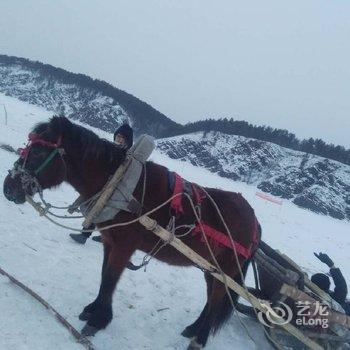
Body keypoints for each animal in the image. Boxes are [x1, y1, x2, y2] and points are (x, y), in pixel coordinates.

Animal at [2, 116, 260, 348]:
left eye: (38, 152)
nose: (8, 188)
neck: (119, 185)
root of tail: (254, 221)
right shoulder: (110, 241)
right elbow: (104, 275)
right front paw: (93, 310)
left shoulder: (124, 246)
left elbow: (110, 278)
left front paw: (98, 320)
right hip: (211, 268)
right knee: (211, 298)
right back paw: (193, 329)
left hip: (226, 269)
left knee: (216, 300)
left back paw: (199, 339)